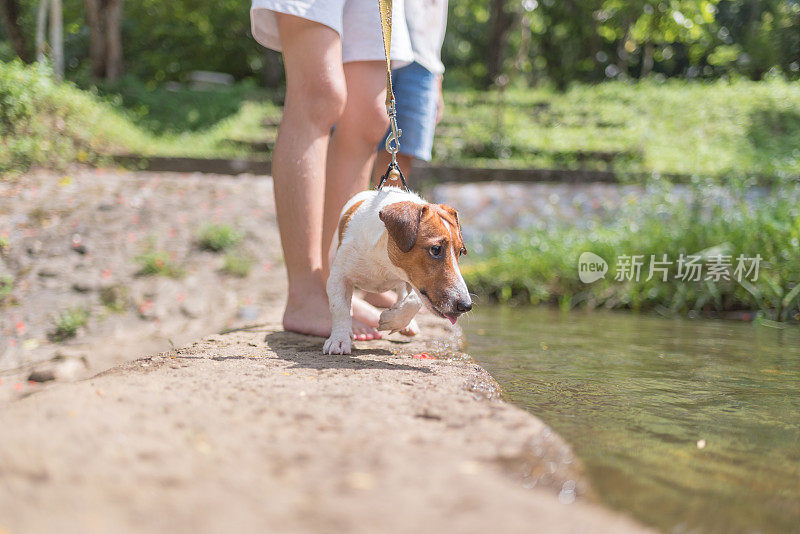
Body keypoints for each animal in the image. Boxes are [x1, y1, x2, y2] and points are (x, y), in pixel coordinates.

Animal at [324, 187, 472, 356]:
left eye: (460, 251)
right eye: (435, 249)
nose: (466, 305)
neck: (385, 263)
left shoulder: (414, 281)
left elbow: (414, 300)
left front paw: (392, 319)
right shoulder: (338, 277)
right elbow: (340, 308)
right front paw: (339, 340)